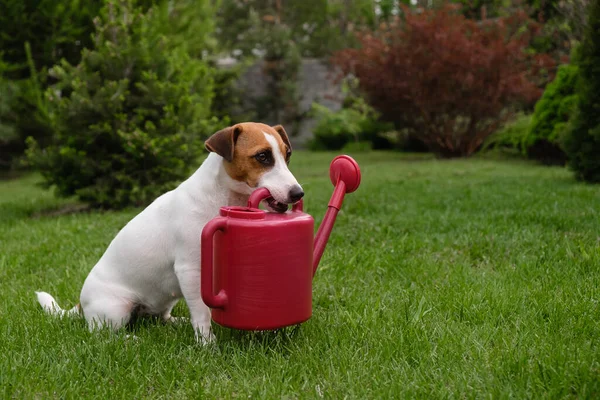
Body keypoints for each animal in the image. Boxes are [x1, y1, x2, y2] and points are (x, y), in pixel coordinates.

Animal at [35, 122, 302, 344]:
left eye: (287, 155)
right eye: (262, 156)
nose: (298, 193)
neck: (219, 197)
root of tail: (81, 305)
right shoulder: (190, 270)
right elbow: (201, 312)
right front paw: (207, 344)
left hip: (163, 301)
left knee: (160, 318)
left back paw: (176, 323)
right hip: (115, 309)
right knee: (102, 335)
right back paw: (130, 340)